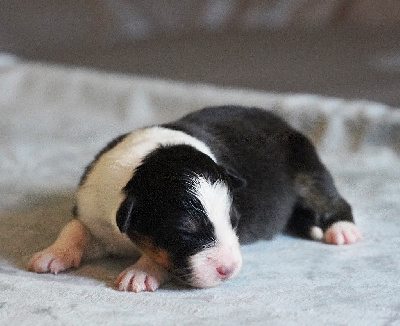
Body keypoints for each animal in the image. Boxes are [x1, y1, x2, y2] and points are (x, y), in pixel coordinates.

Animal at [27, 105, 360, 292]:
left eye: (234, 222)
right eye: (185, 231)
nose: (230, 270)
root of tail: (283, 122)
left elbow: (158, 258)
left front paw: (141, 271)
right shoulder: (94, 208)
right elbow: (75, 228)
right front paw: (53, 253)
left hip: (307, 169)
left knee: (330, 198)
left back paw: (341, 230)